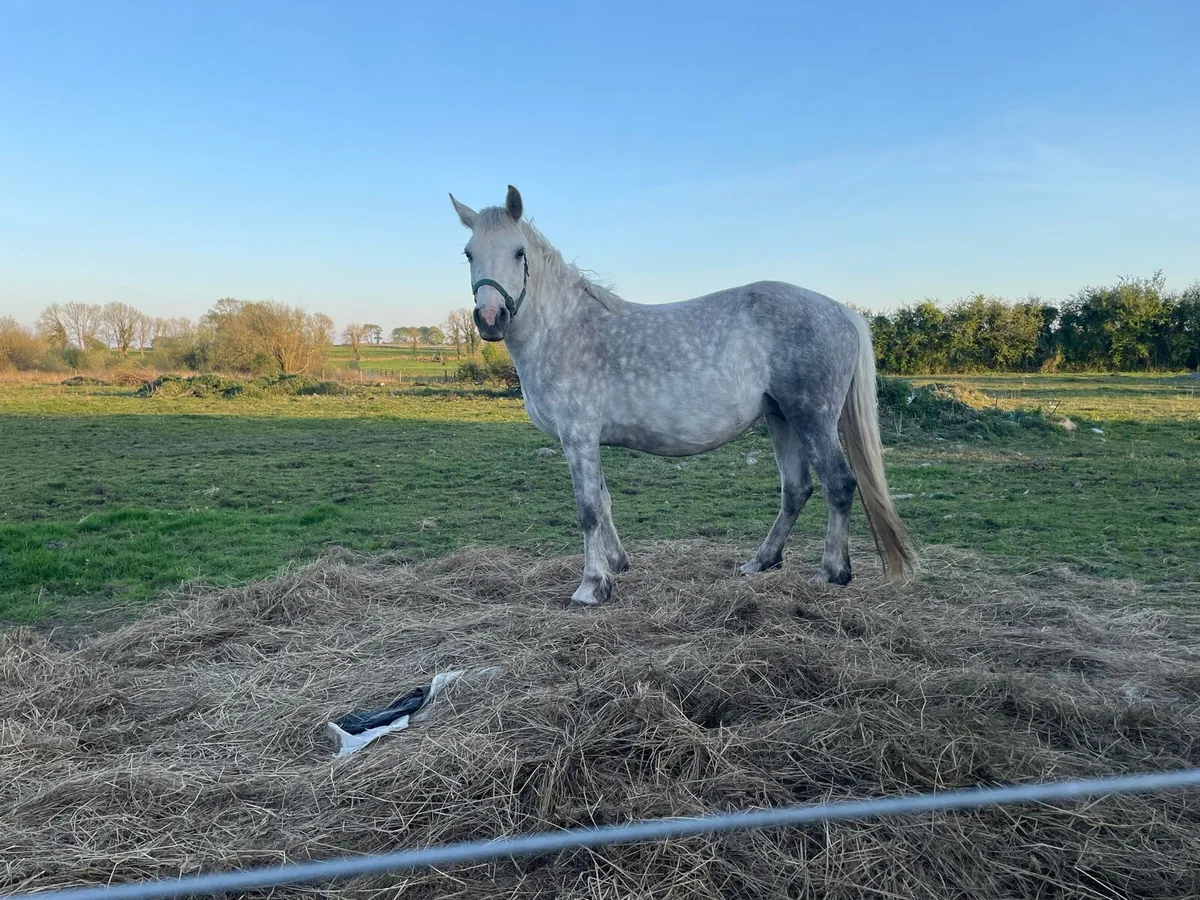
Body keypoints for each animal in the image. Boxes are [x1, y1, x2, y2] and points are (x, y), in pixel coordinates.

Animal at [449, 185, 915, 606]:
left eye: (518, 252)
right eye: (469, 253)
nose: (490, 318)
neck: (562, 329)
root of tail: (843, 312)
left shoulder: (578, 435)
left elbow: (588, 509)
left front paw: (591, 587)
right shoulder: (588, 438)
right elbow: (605, 501)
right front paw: (616, 564)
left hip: (812, 417)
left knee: (839, 483)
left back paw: (831, 572)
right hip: (780, 418)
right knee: (796, 489)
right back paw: (761, 562)